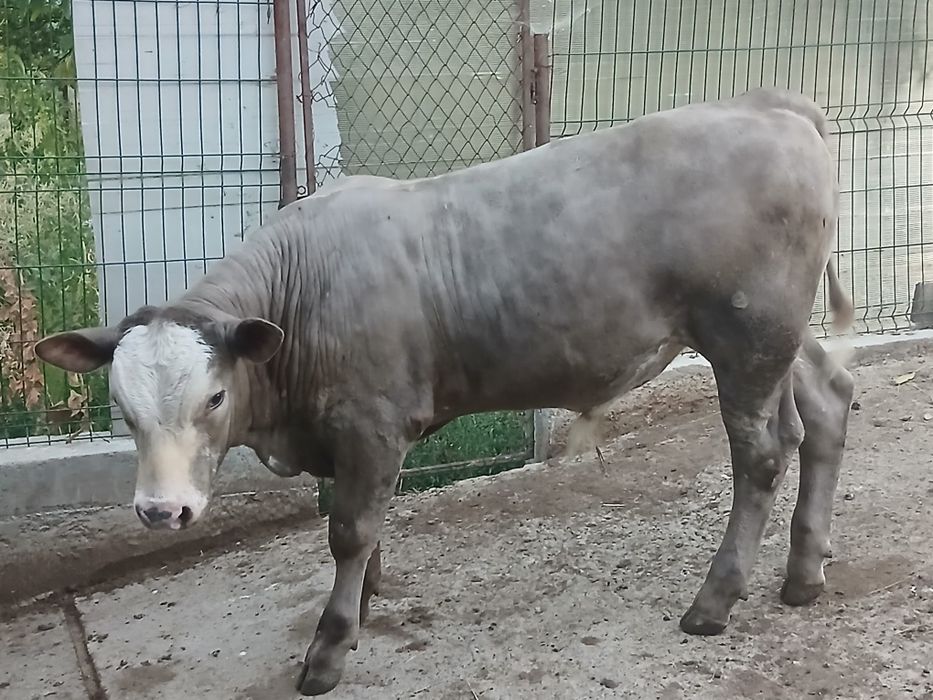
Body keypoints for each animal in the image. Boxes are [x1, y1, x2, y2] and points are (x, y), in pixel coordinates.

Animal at [35, 87, 854, 696]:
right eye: (123, 410)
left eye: (211, 398)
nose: (160, 510)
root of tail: (770, 104)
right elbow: (355, 525)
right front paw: (363, 599)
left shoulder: (372, 424)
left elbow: (349, 530)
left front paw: (331, 645)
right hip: (782, 335)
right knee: (825, 403)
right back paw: (803, 570)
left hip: (746, 338)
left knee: (761, 453)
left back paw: (715, 599)